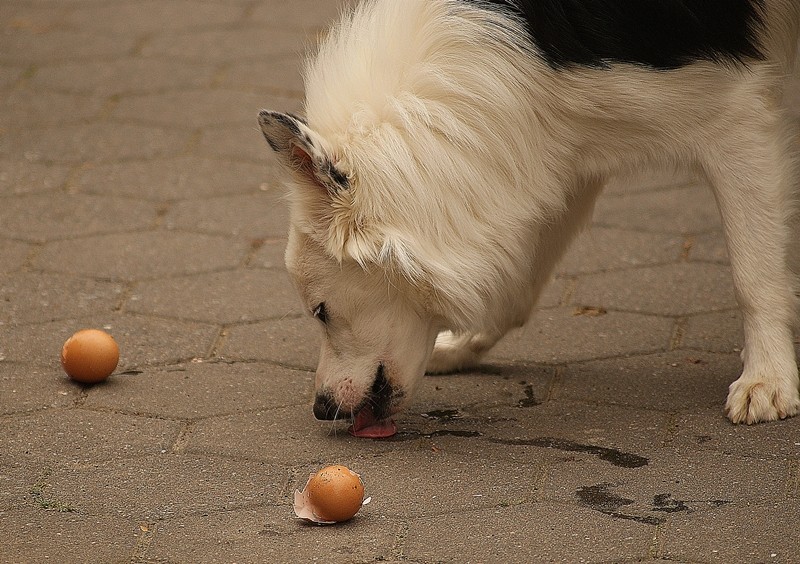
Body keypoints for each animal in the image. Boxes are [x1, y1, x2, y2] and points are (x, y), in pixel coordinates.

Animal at [260, 0, 796, 436]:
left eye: (320, 311)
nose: (321, 409)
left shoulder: (733, 113)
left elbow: (753, 274)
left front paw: (767, 377)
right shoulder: (558, 141)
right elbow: (516, 282)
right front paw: (466, 343)